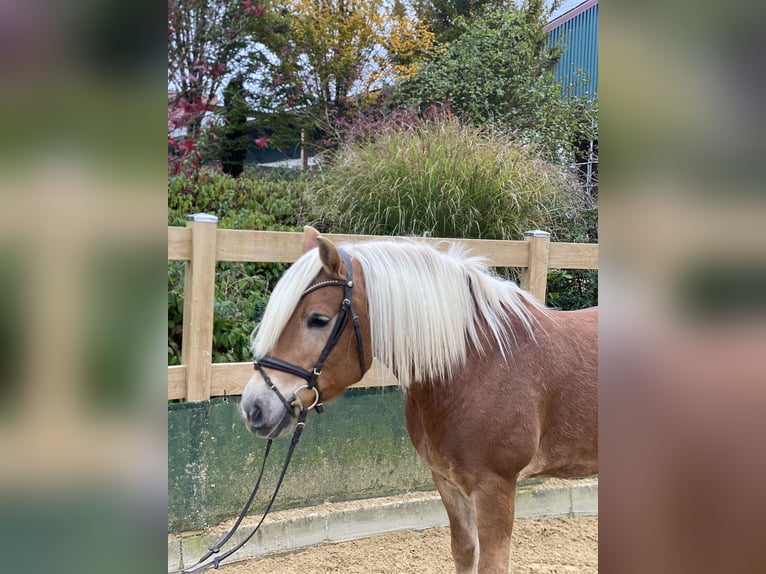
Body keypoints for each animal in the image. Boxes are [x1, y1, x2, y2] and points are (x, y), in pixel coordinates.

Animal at [240, 228, 600, 574]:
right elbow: (464, 553)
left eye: (318, 319)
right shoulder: (447, 482)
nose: (253, 408)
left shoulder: (495, 486)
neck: (480, 363)